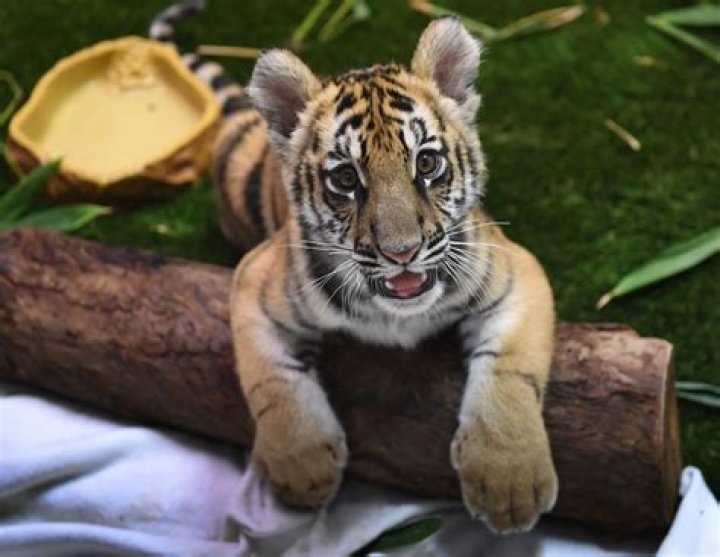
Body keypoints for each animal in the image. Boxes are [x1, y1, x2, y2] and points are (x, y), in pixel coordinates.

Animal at [151, 0, 558, 534]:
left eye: (426, 164)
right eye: (346, 179)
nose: (402, 252)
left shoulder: (519, 275)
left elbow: (510, 373)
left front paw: (509, 483)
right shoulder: (253, 288)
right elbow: (271, 381)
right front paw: (302, 470)